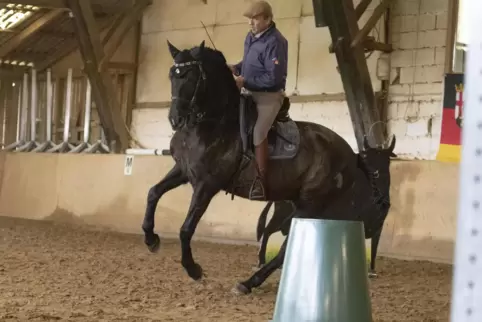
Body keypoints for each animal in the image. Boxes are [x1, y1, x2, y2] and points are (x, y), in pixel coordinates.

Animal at [141, 40, 382, 294]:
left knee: (284, 248)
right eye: (171, 75)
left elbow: (186, 228)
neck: (213, 123)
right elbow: (153, 193)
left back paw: (249, 283)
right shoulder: (184, 172)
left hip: (310, 204)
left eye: (191, 76)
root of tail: (351, 154)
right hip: (303, 204)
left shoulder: (207, 184)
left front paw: (193, 269)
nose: (175, 119)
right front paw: (151, 239)